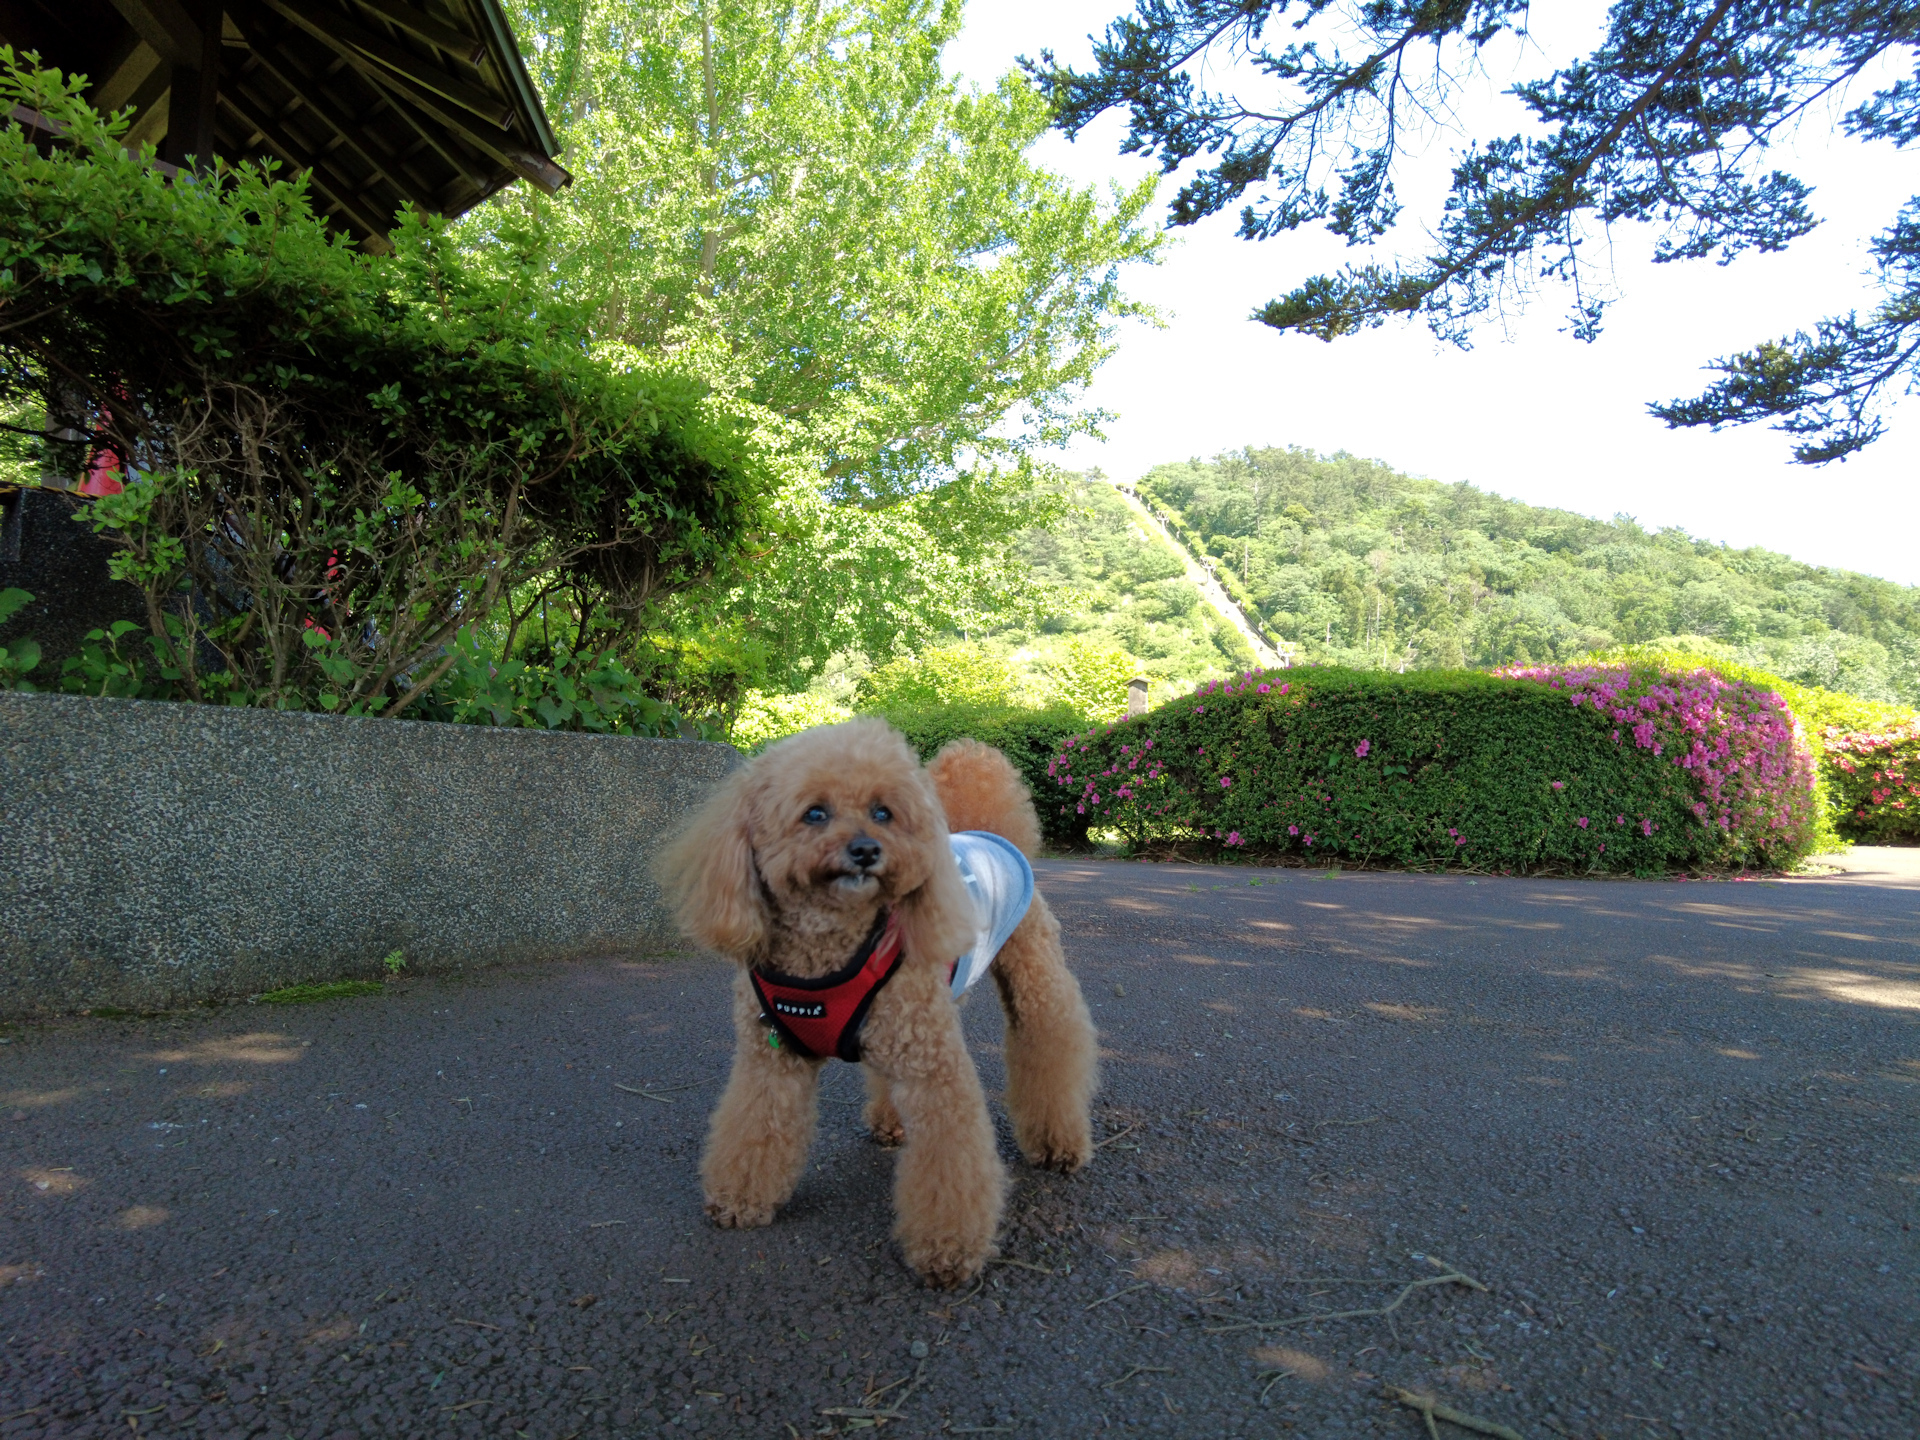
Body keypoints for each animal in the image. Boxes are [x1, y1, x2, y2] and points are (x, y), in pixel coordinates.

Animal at [664, 721, 1098, 1282]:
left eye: (882, 812)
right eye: (815, 813)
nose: (867, 850)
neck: (825, 948)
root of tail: (990, 832)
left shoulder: (935, 1071)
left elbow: (950, 1164)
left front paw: (947, 1250)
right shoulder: (770, 1061)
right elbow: (754, 1128)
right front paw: (740, 1199)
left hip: (1033, 977)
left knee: (1050, 1042)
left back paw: (1057, 1144)